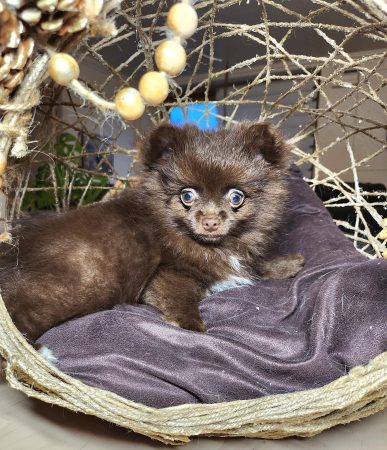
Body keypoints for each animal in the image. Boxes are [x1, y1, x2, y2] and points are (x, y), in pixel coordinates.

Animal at [0, 121, 304, 342]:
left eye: (236, 197)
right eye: (187, 196)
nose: (209, 222)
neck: (214, 246)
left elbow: (255, 267)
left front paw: (288, 264)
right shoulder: (166, 275)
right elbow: (181, 298)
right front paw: (194, 327)